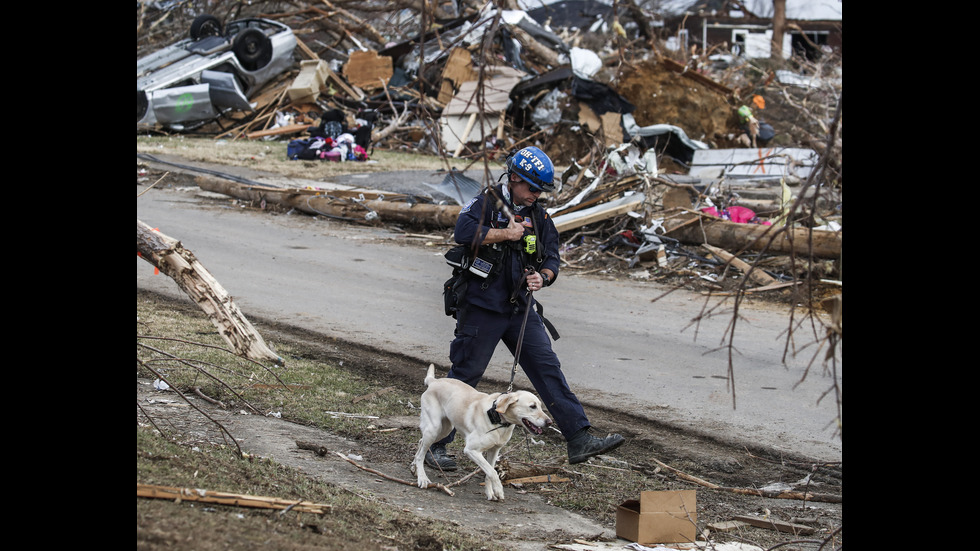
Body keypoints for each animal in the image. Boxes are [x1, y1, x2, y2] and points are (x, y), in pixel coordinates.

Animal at [412, 364, 552, 502]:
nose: (549, 422)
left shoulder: (494, 451)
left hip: (444, 430)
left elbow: (488, 472)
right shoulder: (471, 450)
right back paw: (422, 478)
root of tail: (434, 381)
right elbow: (493, 473)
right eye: (532, 406)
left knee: (420, 443)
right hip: (434, 428)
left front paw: (491, 493)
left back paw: (414, 468)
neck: (497, 418)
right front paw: (499, 489)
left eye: (540, 406)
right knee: (421, 454)